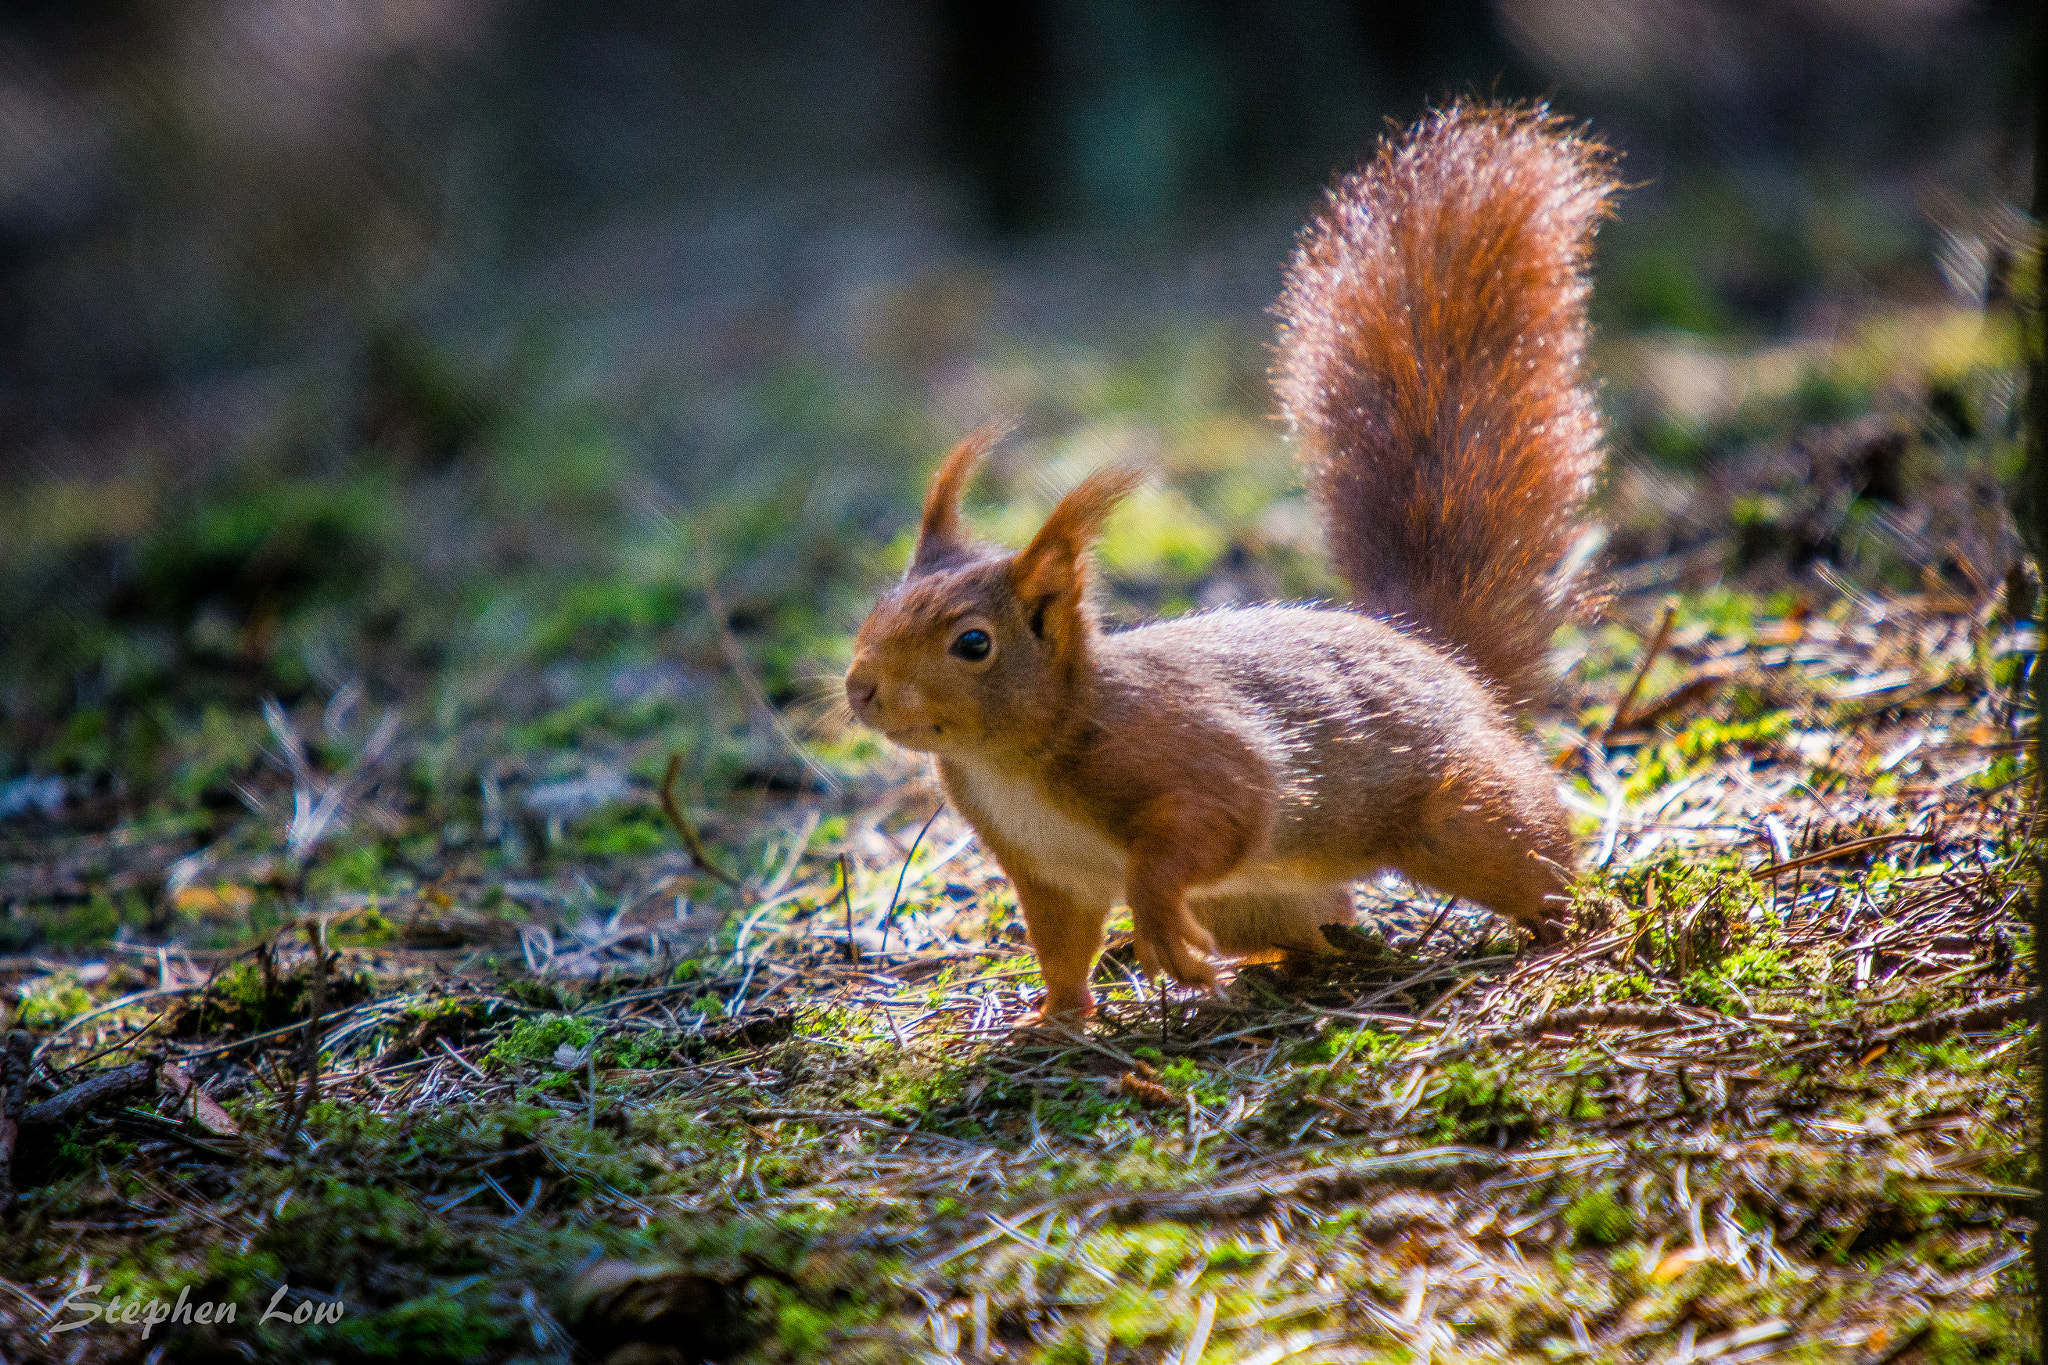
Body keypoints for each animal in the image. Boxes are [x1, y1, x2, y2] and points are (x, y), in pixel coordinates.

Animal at [843, 106, 1613, 1019]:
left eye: (973, 644)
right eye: (876, 610)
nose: (861, 688)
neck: (1011, 759)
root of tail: (1437, 650)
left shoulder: (1189, 753)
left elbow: (1210, 825)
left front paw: (1157, 932)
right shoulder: (1045, 870)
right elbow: (1062, 945)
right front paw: (1054, 1019)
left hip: (1458, 814)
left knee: (1527, 844)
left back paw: (1566, 929)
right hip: (1260, 898)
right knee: (1312, 926)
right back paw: (1291, 967)